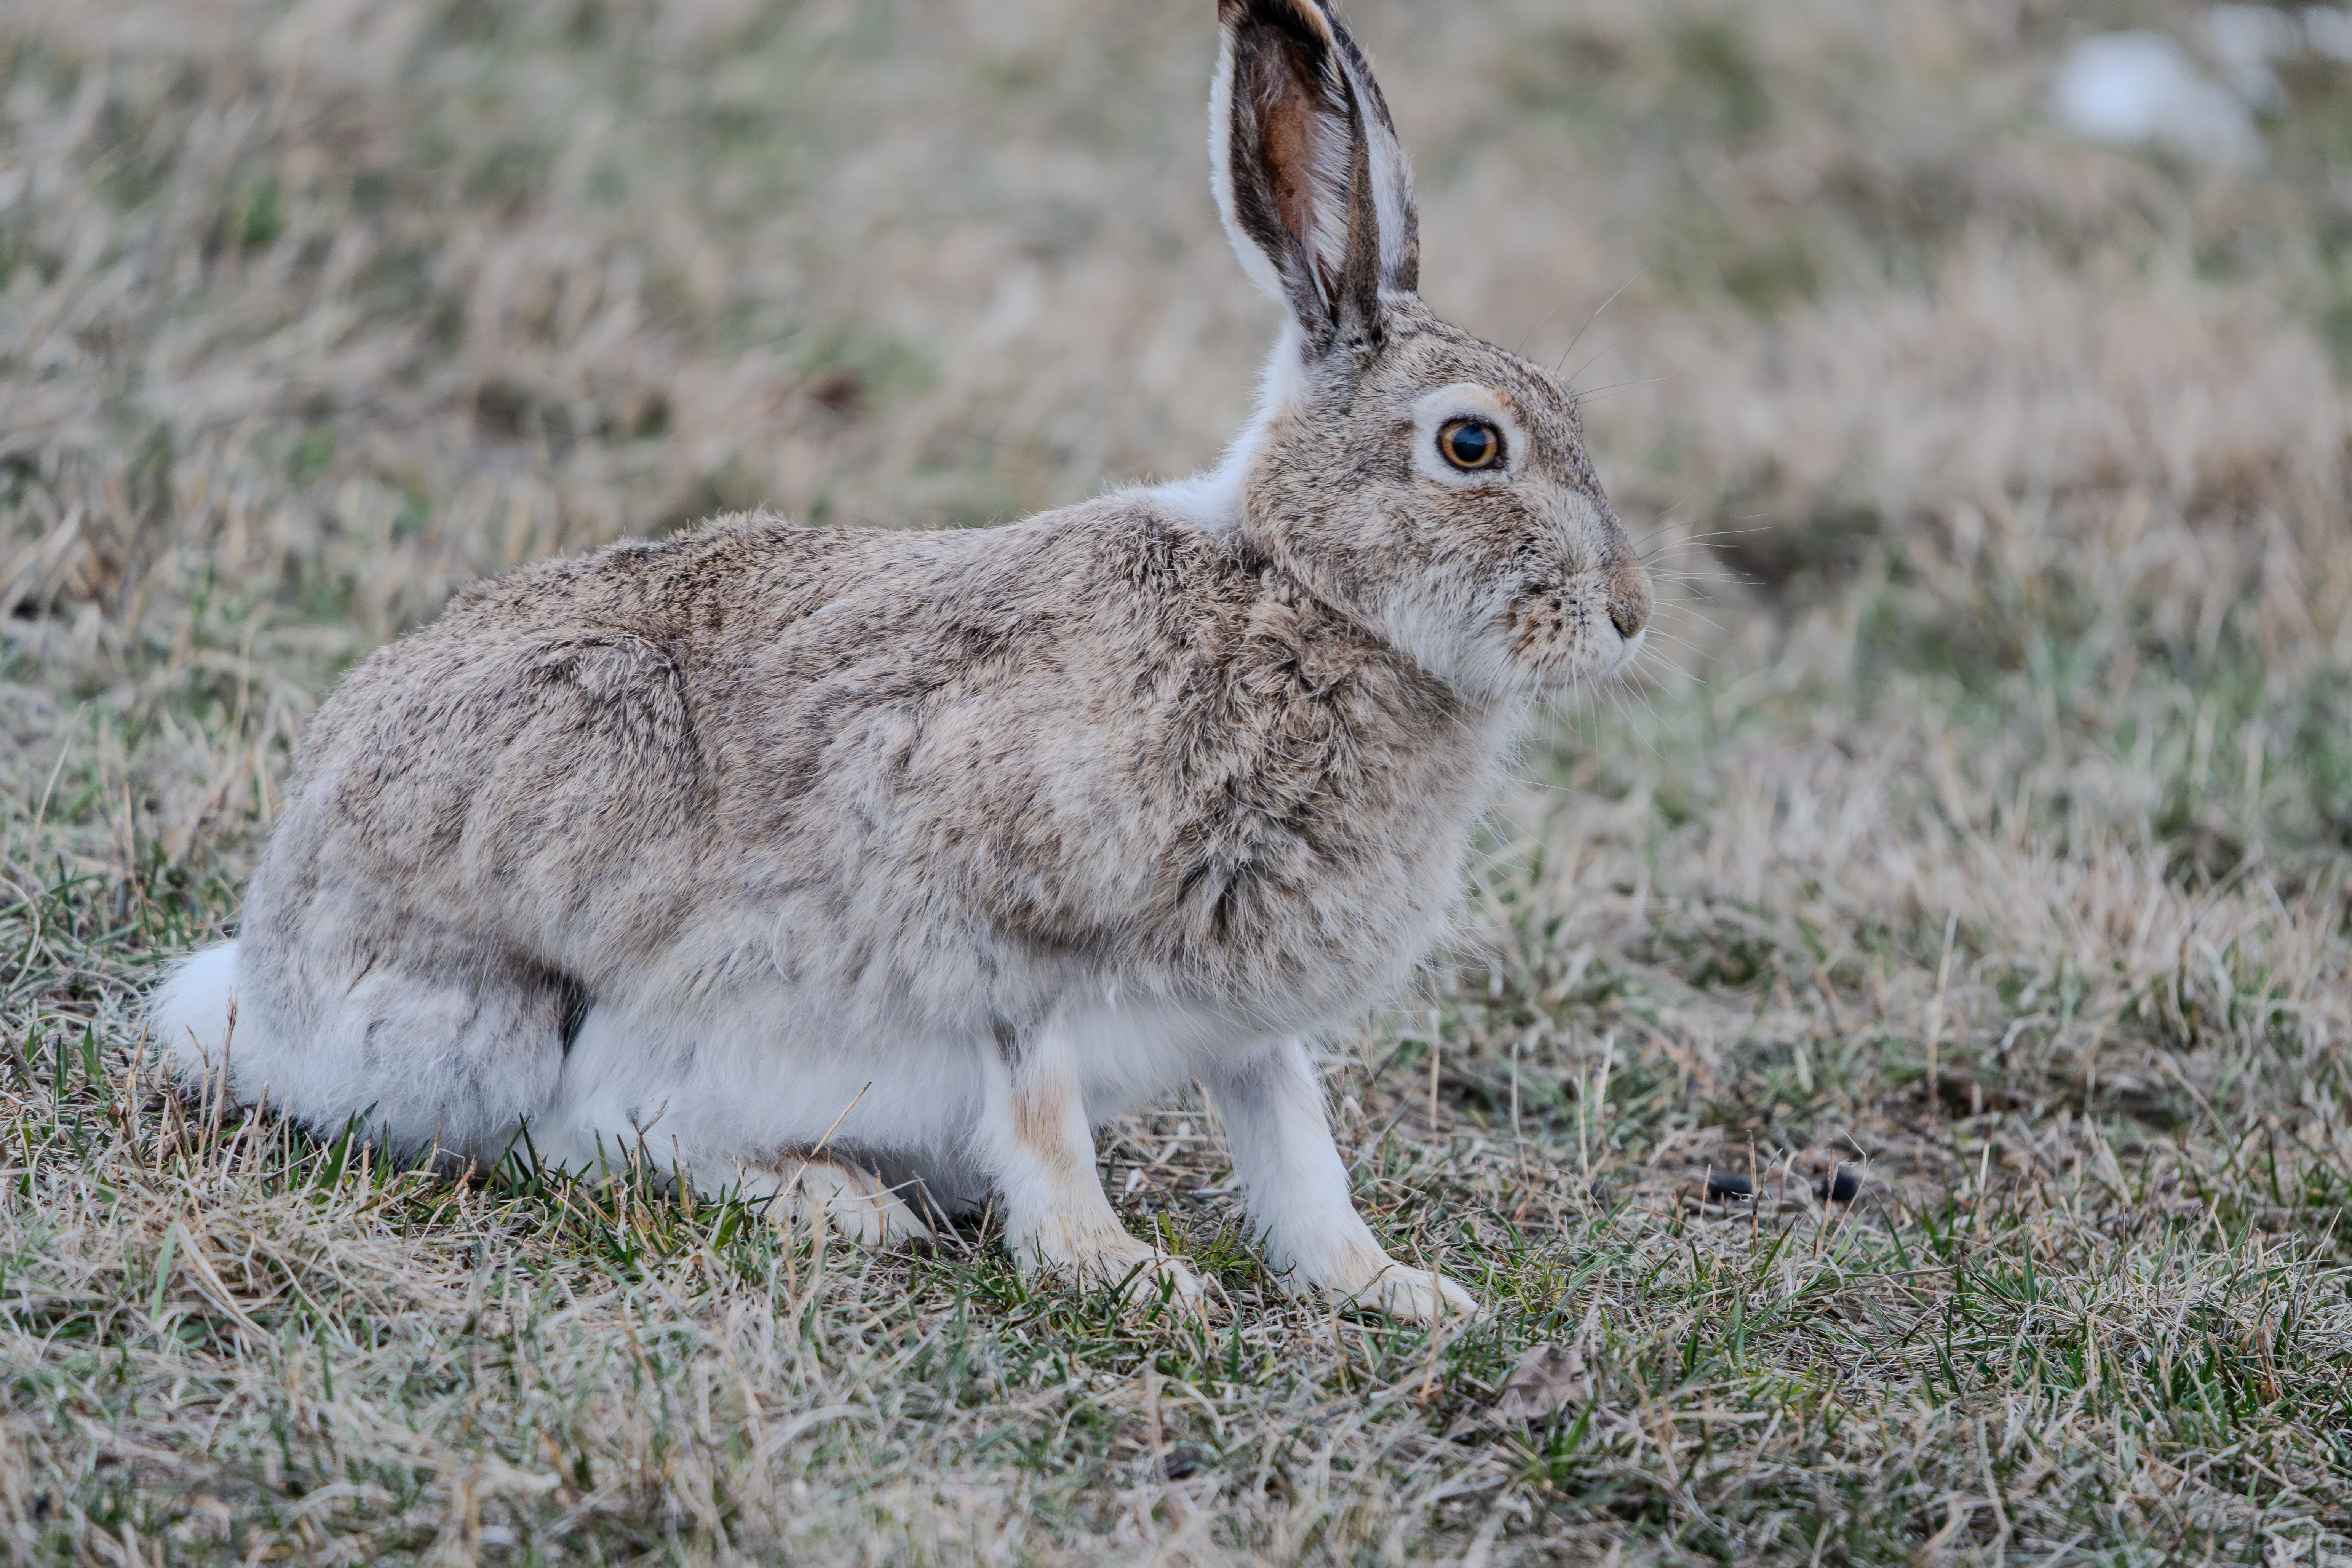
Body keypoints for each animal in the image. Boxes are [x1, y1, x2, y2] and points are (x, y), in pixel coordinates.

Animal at [150, 0, 1652, 1323]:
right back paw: (840, 1203)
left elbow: (1296, 1143)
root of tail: (266, 983)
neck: (1301, 594)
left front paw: (1394, 1288)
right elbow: (1042, 1111)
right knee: (572, 1134)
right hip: (540, 957)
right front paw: (1122, 1271)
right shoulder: (1004, 923)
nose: (1630, 611)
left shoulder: (1247, 1018)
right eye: (1471, 445)